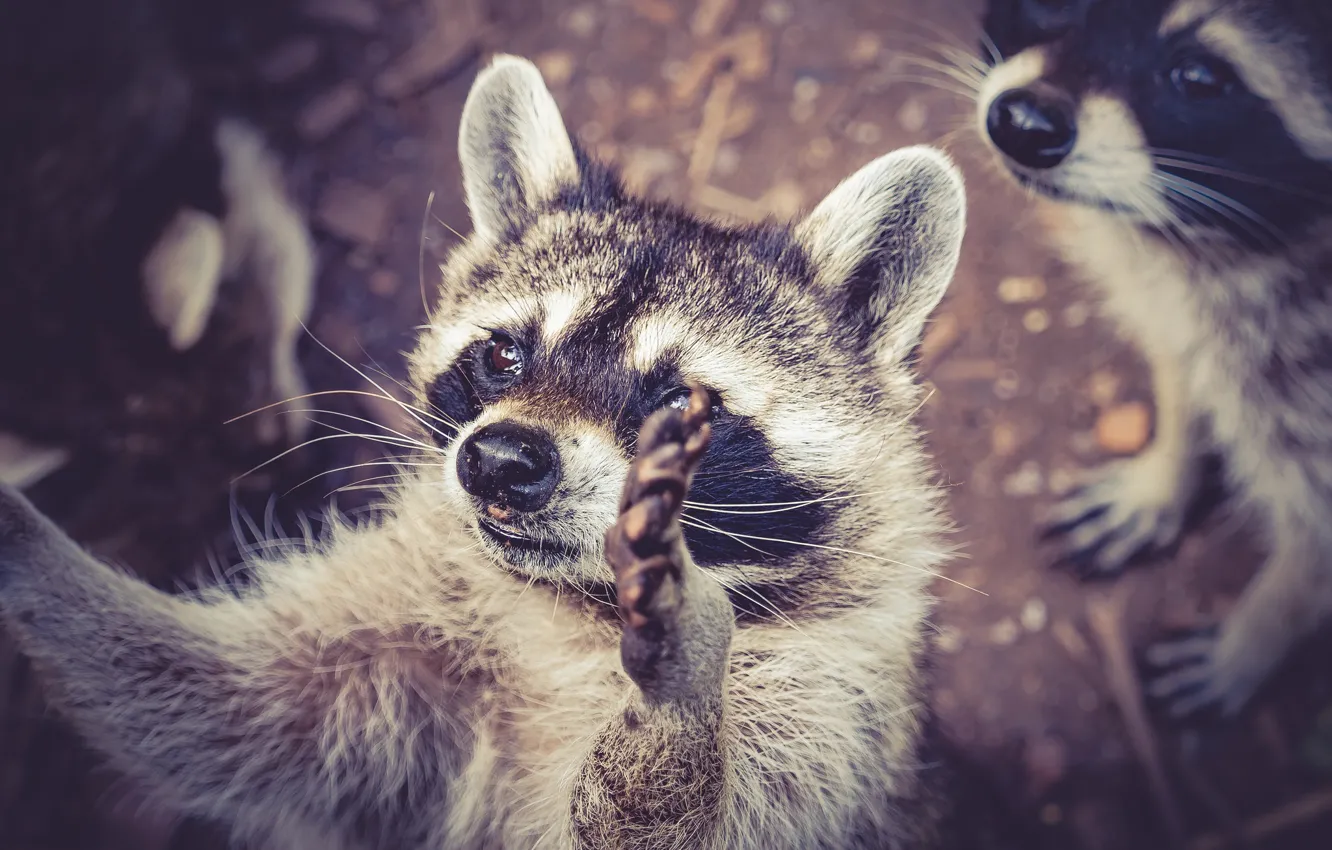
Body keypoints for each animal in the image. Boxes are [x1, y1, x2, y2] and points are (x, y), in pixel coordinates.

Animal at [0, 56, 968, 849]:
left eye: (679, 405)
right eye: (504, 355)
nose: (500, 460)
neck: (564, 613)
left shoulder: (824, 720)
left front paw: (677, 703)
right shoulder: (406, 649)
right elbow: (231, 708)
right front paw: (39, 555)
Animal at [975, 0, 1332, 717]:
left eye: (1198, 77)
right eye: (1053, 6)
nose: (1022, 124)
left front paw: (1261, 630)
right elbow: (1183, 360)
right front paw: (1167, 467)